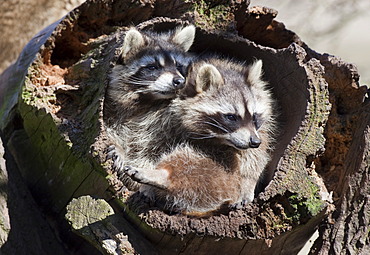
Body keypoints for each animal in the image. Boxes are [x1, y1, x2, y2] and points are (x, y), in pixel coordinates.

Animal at [118, 58, 274, 215]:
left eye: (254, 116)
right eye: (231, 117)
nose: (255, 141)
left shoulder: (261, 130)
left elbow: (254, 157)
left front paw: (249, 182)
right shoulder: (159, 115)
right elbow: (146, 146)